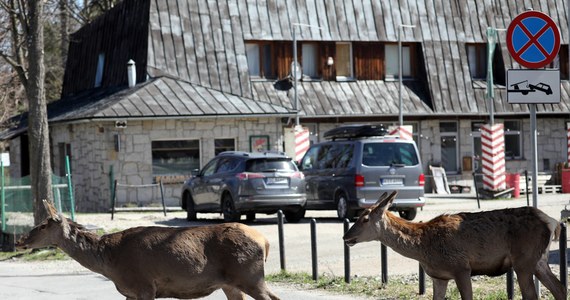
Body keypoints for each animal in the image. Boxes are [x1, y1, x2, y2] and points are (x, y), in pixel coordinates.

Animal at [18, 199, 280, 300]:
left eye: (43, 224)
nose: (20, 240)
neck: (109, 263)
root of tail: (265, 242)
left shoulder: (144, 285)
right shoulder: (131, 292)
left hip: (249, 275)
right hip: (232, 282)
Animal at [342, 191, 564, 298]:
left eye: (365, 219)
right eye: (359, 215)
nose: (346, 236)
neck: (423, 248)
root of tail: (552, 222)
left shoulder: (461, 267)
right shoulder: (439, 277)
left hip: (524, 261)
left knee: (533, 295)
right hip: (539, 260)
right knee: (560, 288)